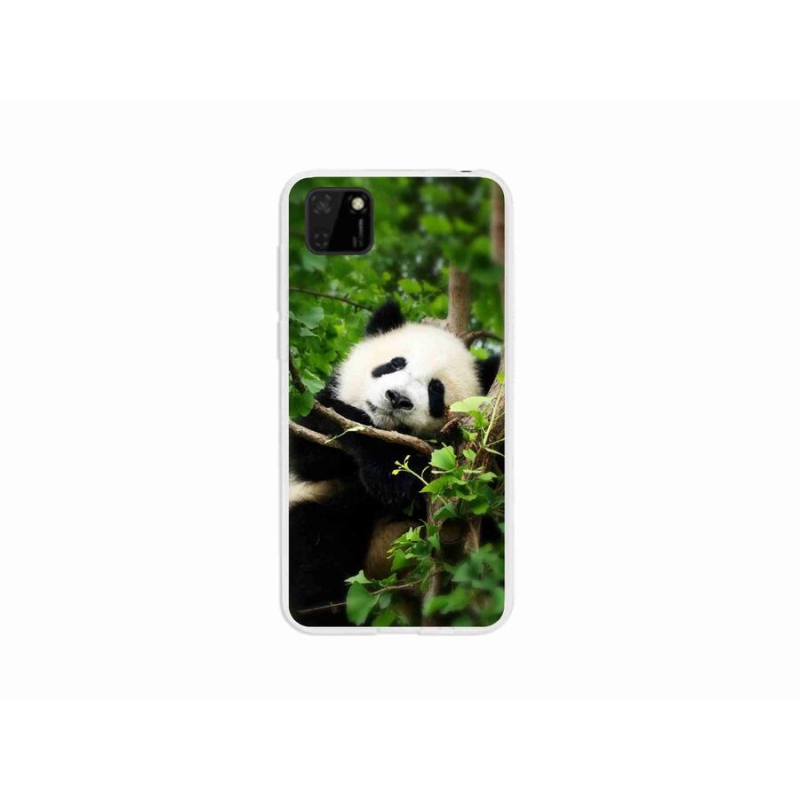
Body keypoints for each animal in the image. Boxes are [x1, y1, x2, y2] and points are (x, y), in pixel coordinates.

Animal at [288, 300, 500, 626]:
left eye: (435, 389)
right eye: (394, 364)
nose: (397, 397)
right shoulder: (317, 420)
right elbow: (312, 447)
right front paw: (392, 472)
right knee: (314, 541)